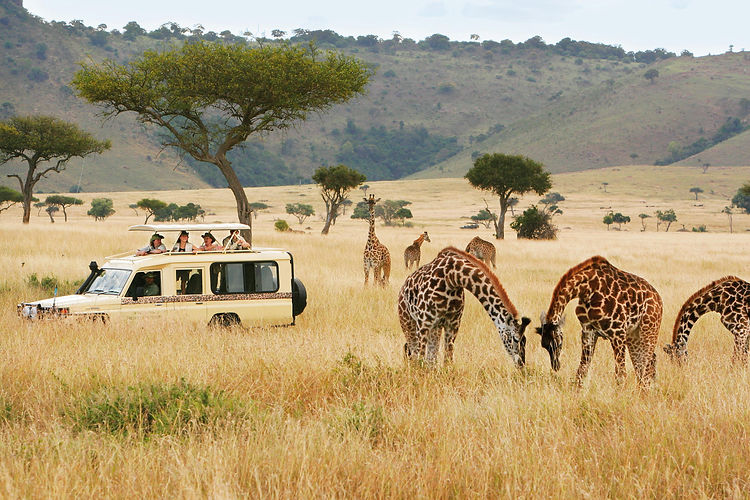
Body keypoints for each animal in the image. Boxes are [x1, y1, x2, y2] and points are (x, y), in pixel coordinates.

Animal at [398, 246, 530, 366]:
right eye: (515, 339)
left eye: (525, 340)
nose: (521, 364)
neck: (452, 277)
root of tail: (402, 288)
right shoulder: (423, 323)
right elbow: (420, 358)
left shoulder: (453, 324)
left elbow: (448, 360)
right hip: (408, 323)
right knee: (414, 354)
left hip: (435, 328)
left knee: (431, 359)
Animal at [537, 255, 663, 389]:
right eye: (544, 345)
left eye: (558, 344)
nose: (556, 366)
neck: (587, 290)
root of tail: (659, 299)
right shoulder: (588, 331)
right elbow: (582, 370)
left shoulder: (617, 332)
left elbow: (620, 374)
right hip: (633, 335)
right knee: (644, 364)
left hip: (648, 329)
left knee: (647, 364)